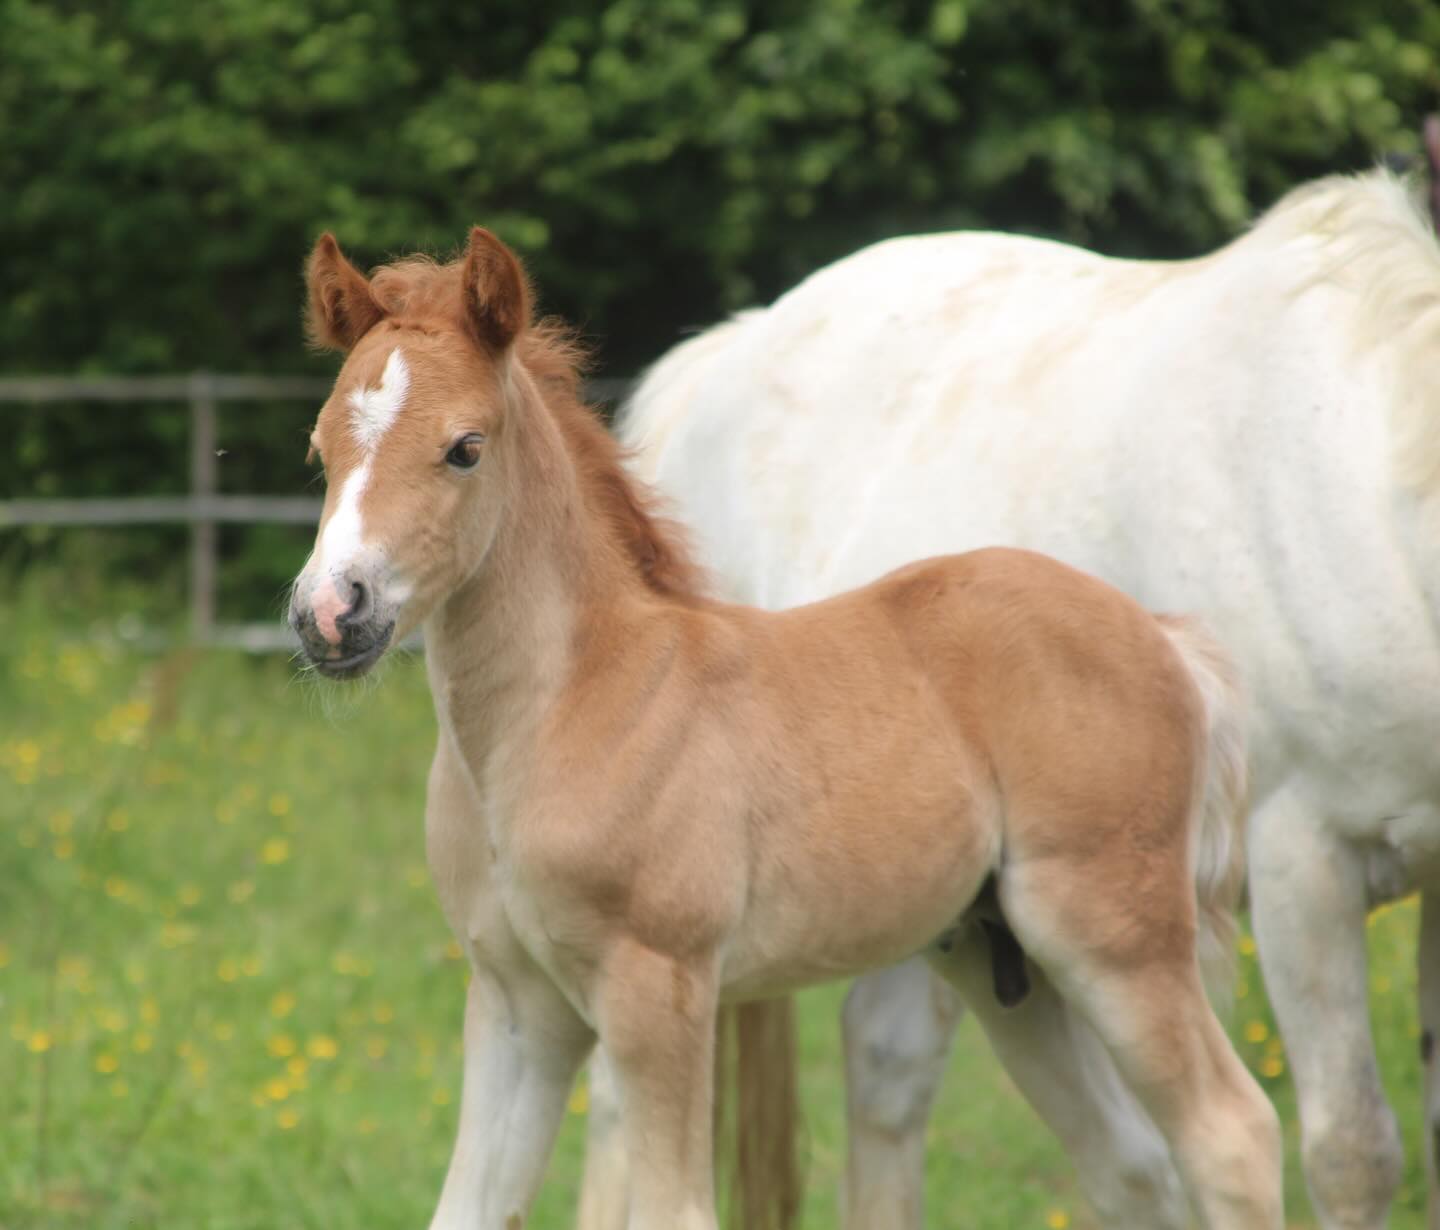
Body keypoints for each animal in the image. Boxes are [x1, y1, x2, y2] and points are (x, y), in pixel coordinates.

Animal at [287, 226, 1282, 1230]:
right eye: (320, 448)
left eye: (465, 448)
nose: (331, 614)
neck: (568, 707)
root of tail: (1163, 637)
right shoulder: (516, 1008)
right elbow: (465, 1210)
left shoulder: (660, 989)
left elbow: (677, 1211)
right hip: (1006, 965)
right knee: (1133, 1168)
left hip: (1110, 934)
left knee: (1231, 1136)